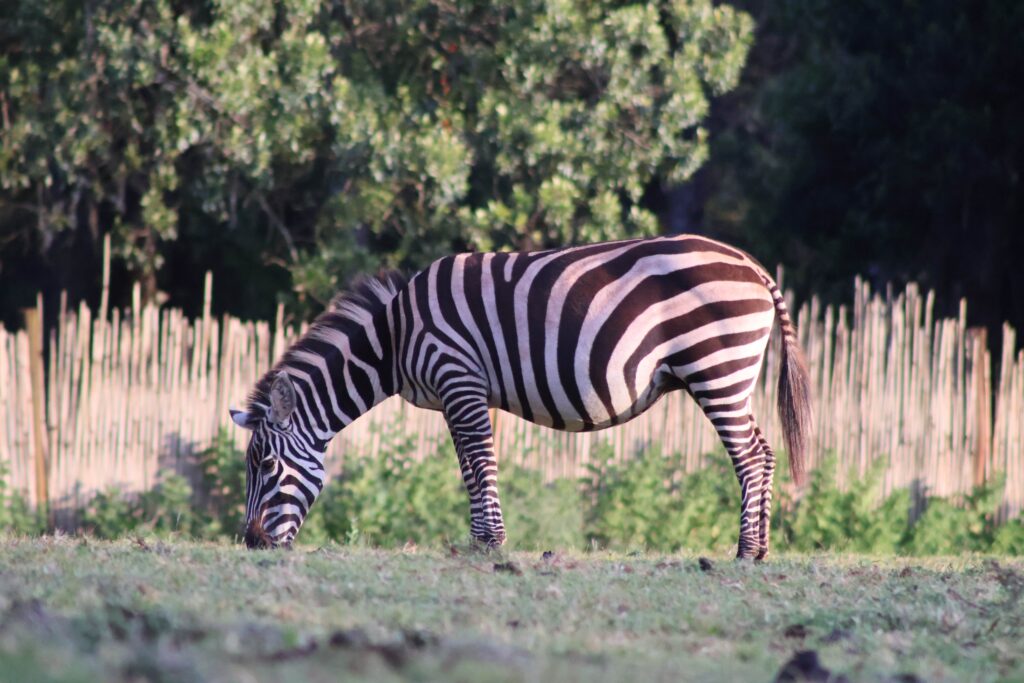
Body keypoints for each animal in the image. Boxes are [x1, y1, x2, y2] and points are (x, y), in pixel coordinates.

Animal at [229, 234, 812, 559]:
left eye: (266, 466)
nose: (251, 543)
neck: (394, 339)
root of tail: (753, 266)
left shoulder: (459, 377)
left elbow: (479, 462)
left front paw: (489, 543)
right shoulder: (461, 392)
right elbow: (469, 467)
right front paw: (478, 540)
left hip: (715, 369)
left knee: (750, 456)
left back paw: (745, 551)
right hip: (728, 375)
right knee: (764, 452)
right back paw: (760, 548)